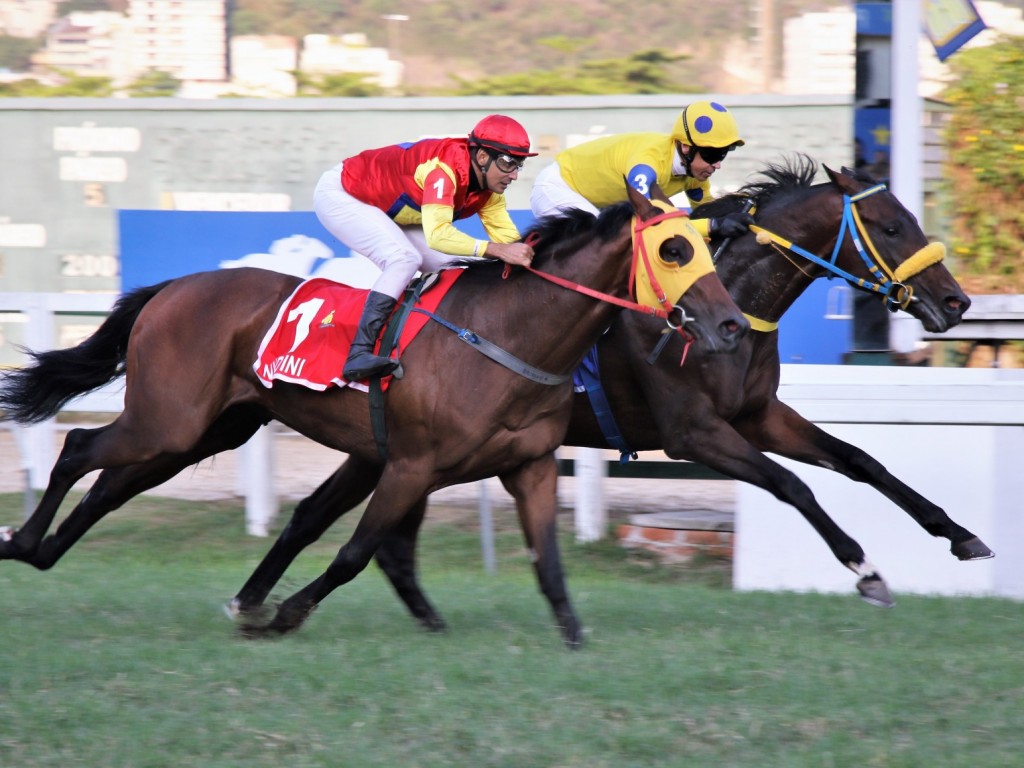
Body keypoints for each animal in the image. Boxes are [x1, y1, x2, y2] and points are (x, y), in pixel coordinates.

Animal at [0, 185, 745, 651]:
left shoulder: (529, 467)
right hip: (169, 420)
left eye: (704, 246)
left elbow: (548, 564)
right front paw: (280, 616)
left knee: (109, 483)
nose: (732, 325)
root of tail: (172, 288)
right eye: (675, 251)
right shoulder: (412, 465)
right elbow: (357, 552)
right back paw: (21, 540)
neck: (509, 334)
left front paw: (574, 638)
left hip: (201, 430)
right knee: (79, 446)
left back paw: (42, 550)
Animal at [226, 159, 991, 634]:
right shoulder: (694, 433)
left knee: (335, 522)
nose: (957, 301)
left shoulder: (758, 415)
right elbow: (793, 486)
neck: (730, 302)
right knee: (347, 526)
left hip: (389, 447)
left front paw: (960, 536)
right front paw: (866, 570)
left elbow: (862, 460)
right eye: (891, 226)